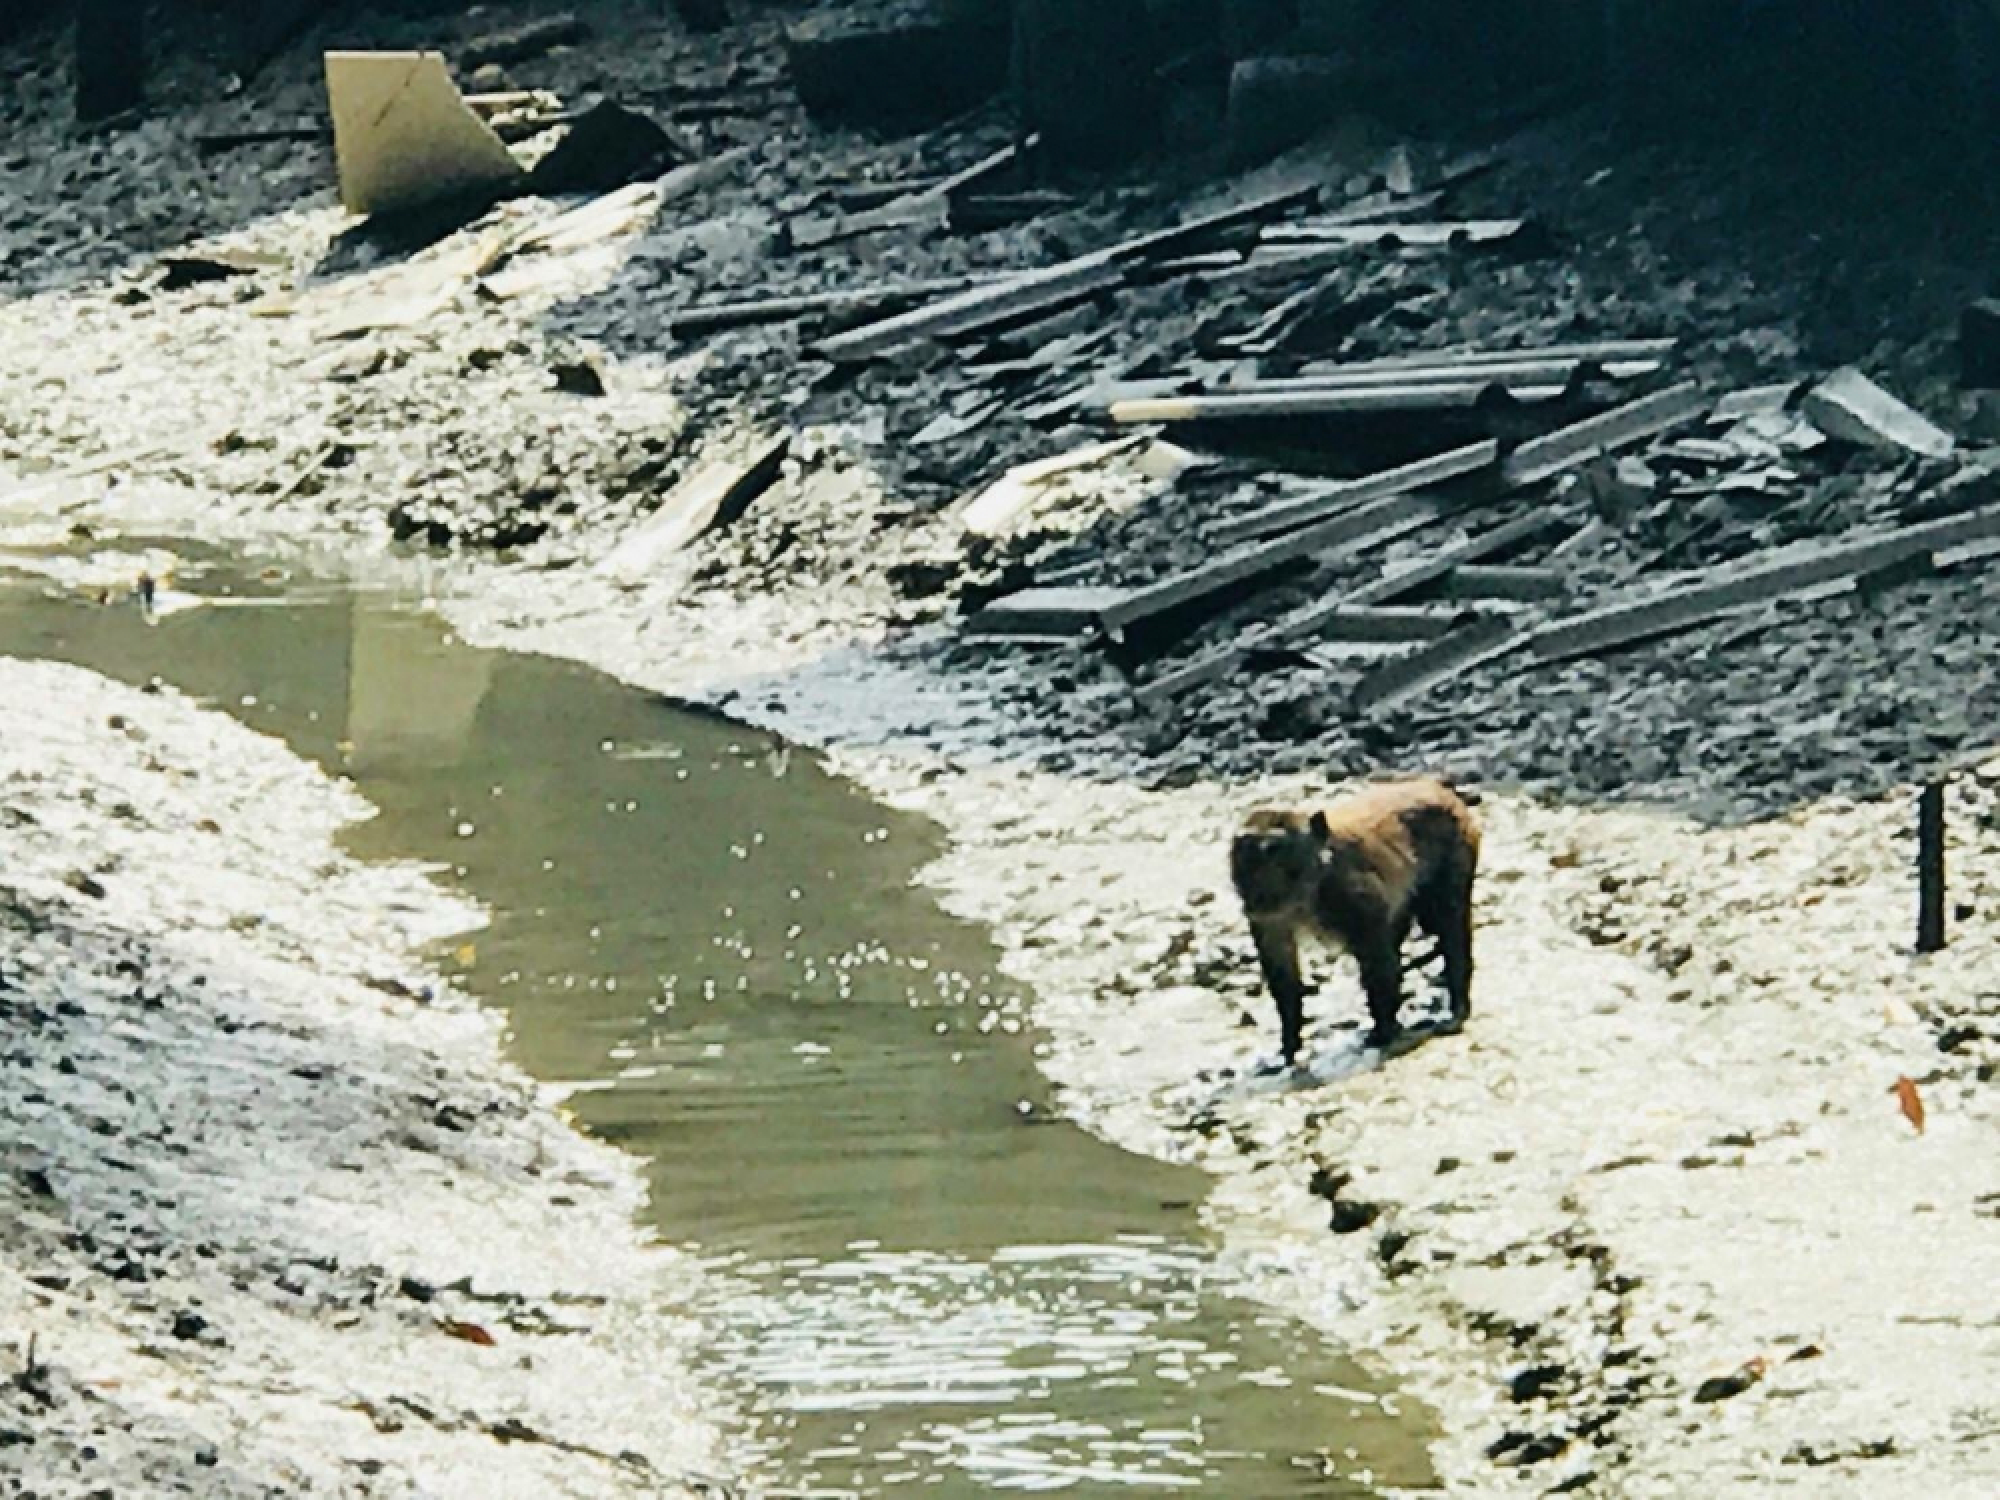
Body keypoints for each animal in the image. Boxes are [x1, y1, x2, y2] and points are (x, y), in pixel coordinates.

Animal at [1229, 777, 1480, 1066]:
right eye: (1246, 854)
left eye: (1274, 849)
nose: (1256, 892)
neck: (1308, 891)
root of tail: (1440, 787)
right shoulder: (1268, 916)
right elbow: (1281, 966)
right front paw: (1289, 1042)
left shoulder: (1352, 893)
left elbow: (1377, 960)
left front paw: (1383, 1030)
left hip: (1457, 842)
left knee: (1449, 920)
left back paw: (1457, 1003)